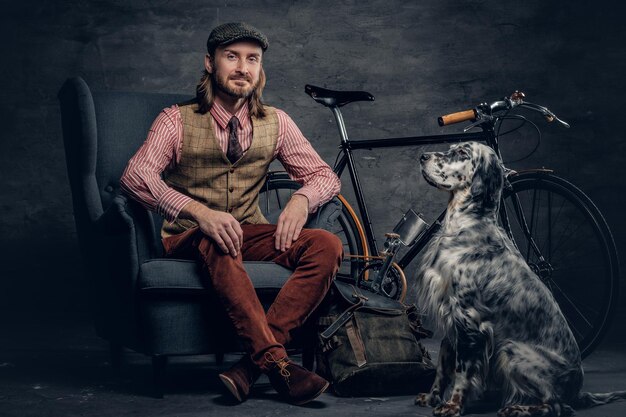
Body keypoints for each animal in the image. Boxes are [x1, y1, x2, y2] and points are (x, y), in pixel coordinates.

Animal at [412, 141, 620, 414]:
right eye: (451, 148)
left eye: (462, 153)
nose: (422, 156)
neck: (466, 223)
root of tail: (577, 391)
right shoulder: (450, 314)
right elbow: (442, 367)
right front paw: (432, 397)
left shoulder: (469, 319)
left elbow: (462, 371)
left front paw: (453, 405)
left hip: (510, 350)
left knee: (557, 406)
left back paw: (517, 408)